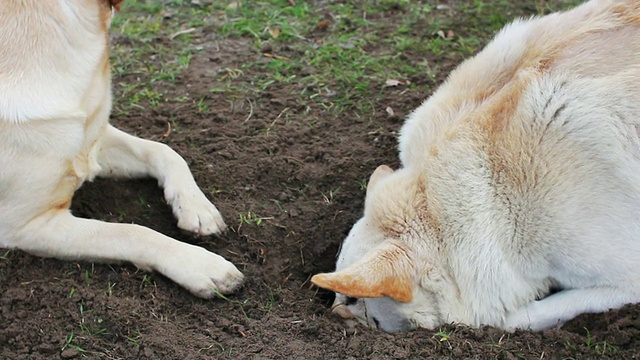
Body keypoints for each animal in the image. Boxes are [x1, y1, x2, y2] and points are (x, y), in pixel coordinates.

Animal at [0, 0, 242, 298]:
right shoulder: (27, 225)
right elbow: (132, 232)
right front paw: (201, 265)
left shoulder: (92, 140)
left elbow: (163, 151)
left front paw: (197, 209)